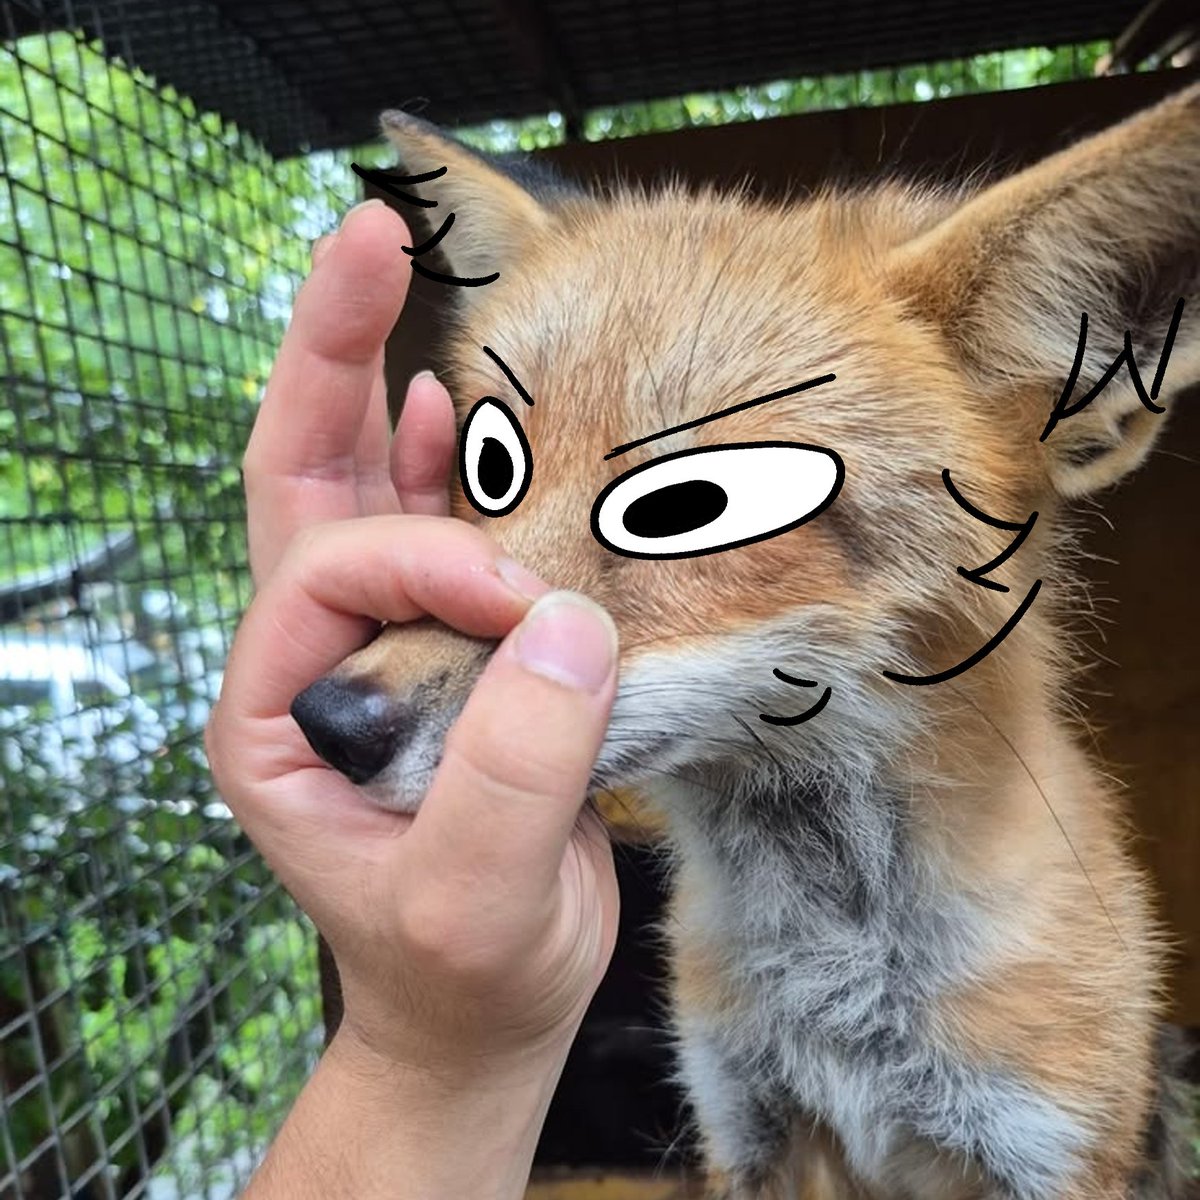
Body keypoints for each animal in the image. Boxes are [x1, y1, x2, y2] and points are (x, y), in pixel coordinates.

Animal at [288, 83, 1200, 1198]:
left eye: (695, 507)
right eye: (491, 470)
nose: (330, 722)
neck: (837, 997)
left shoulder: (1044, 1145)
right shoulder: (744, 1119)